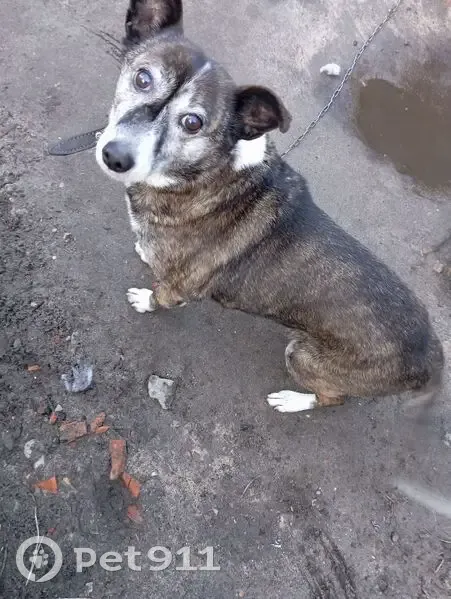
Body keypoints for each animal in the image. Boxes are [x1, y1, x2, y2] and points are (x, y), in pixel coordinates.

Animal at [96, 0, 443, 414]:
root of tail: (433, 358)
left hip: (305, 357)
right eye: (143, 79)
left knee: (332, 398)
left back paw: (292, 401)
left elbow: (161, 295)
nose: (115, 157)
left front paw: (145, 299)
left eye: (193, 122)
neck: (203, 173)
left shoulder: (180, 288)